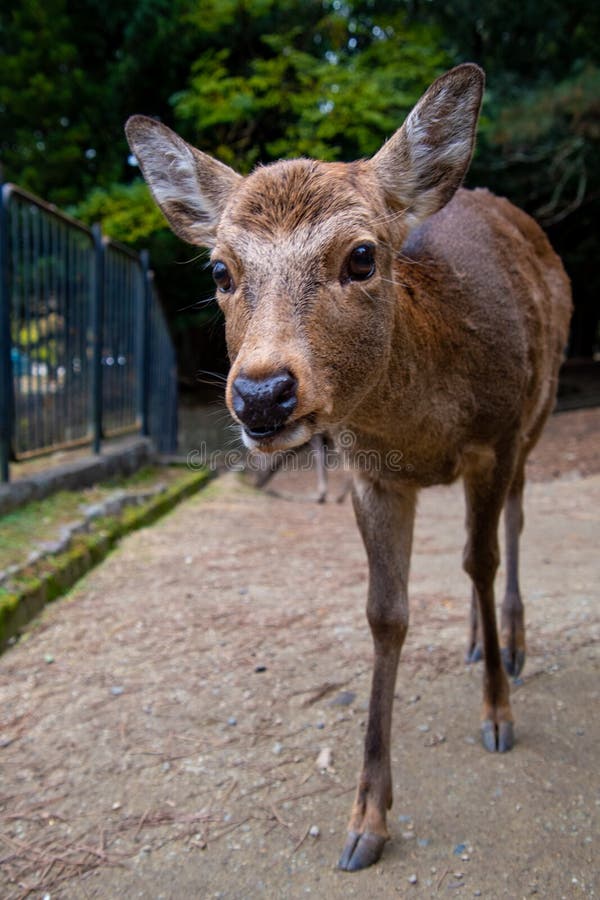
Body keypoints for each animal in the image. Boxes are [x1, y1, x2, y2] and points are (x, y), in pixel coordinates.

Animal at [125, 65, 572, 872]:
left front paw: (498, 713)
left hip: (541, 408)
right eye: (220, 269)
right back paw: (474, 640)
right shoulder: (371, 473)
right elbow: (385, 613)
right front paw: (367, 818)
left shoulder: (492, 439)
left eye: (361, 256)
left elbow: (481, 561)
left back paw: (512, 646)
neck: (422, 423)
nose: (261, 392)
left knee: (514, 523)